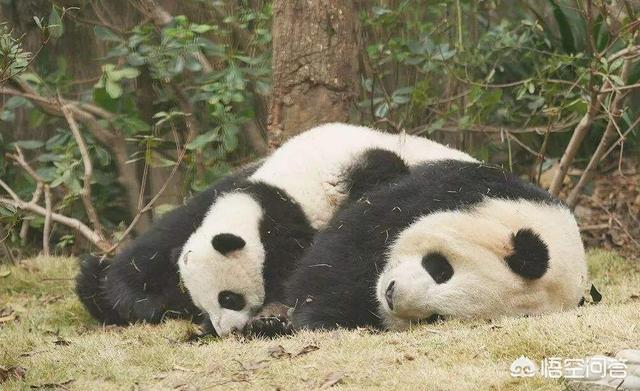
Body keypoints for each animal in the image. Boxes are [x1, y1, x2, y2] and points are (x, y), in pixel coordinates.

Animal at [175, 124, 476, 338]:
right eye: (202, 306)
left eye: (228, 298)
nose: (227, 331)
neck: (255, 202)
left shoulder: (286, 225)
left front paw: (271, 314)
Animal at [288, 161, 588, 332]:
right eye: (442, 271)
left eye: (436, 317)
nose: (391, 295)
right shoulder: (458, 189)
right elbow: (346, 250)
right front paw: (315, 315)